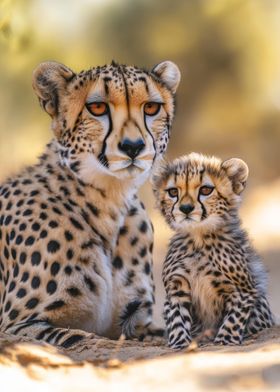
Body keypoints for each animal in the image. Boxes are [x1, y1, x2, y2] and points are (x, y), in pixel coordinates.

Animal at [0, 59, 180, 348]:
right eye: (97, 108)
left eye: (151, 107)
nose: (133, 146)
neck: (109, 201)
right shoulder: (16, 325)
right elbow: (90, 340)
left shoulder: (136, 322)